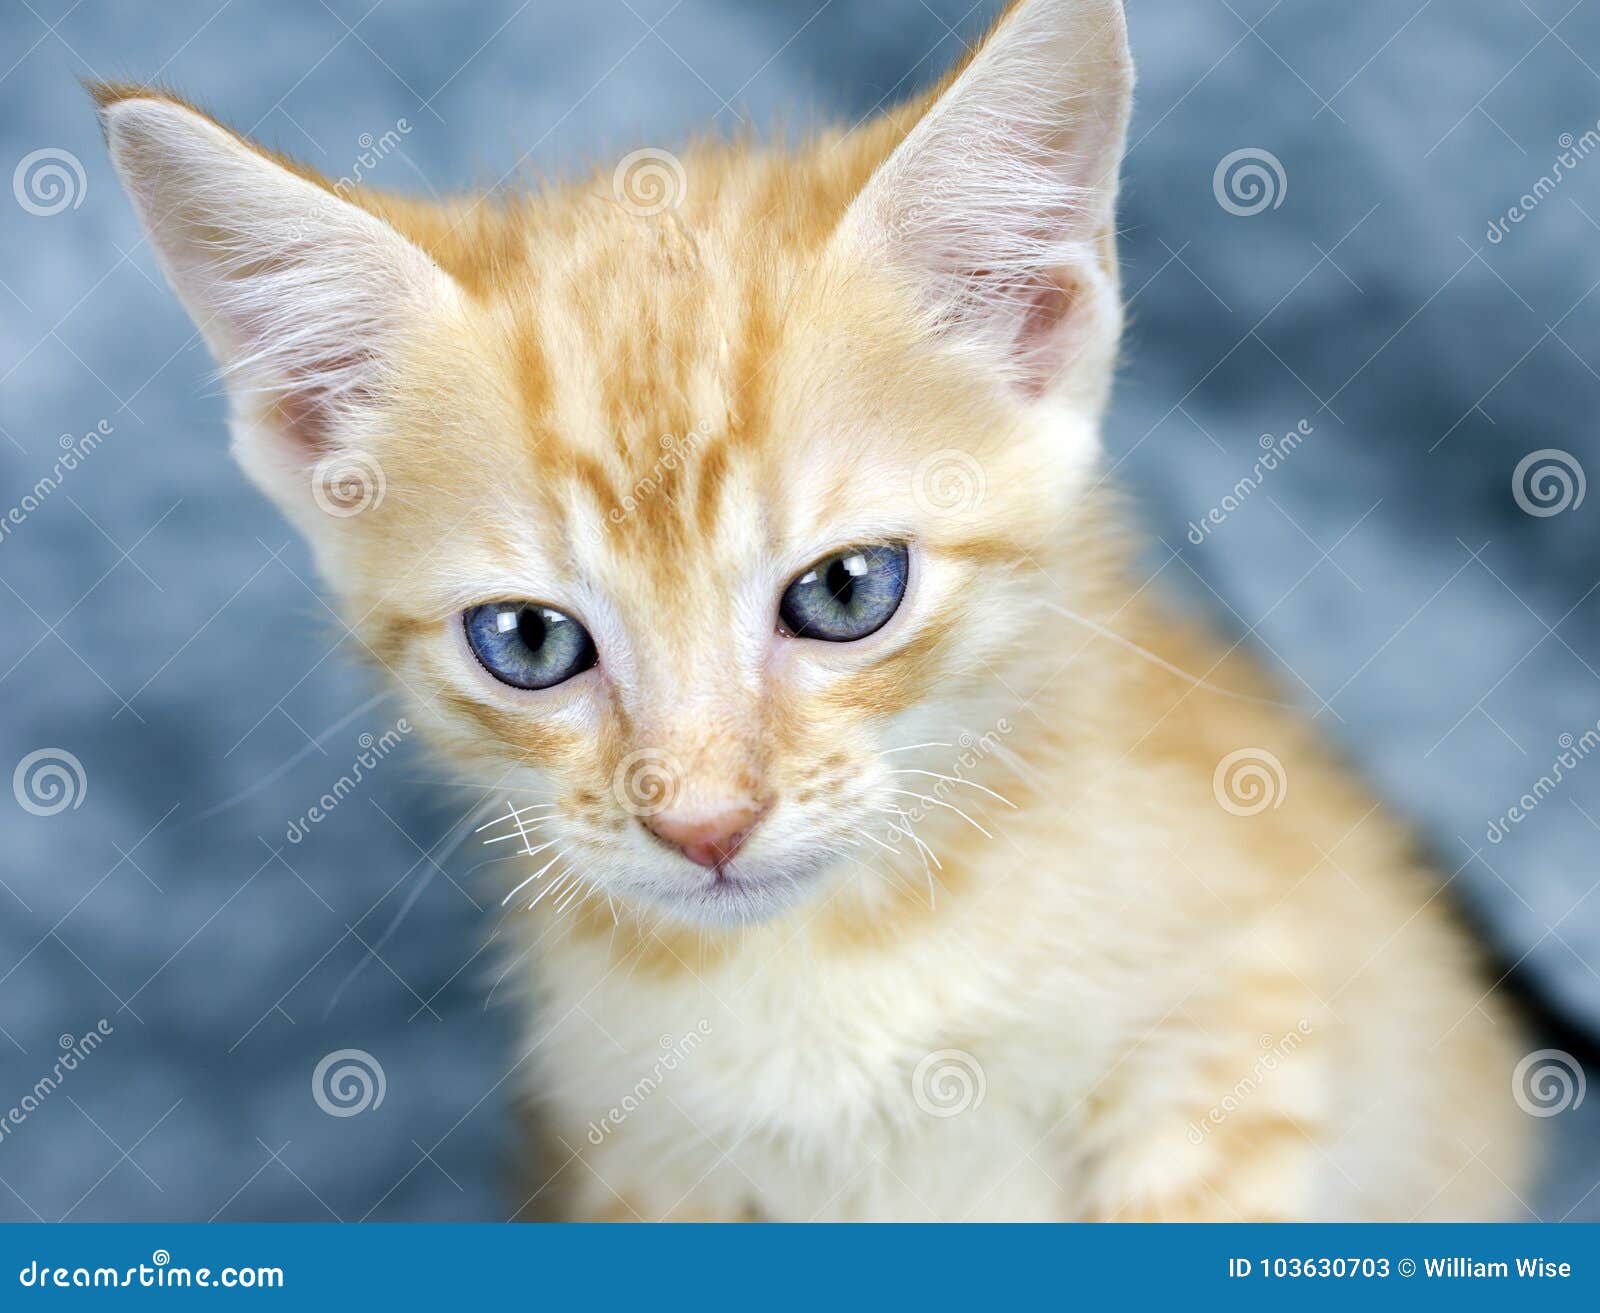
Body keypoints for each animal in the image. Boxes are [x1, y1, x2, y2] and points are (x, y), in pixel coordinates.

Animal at [93, 0, 1529, 1221]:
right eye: (531, 641)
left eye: (844, 592)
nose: (704, 824)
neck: (833, 964)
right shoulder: (639, 1163)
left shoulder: (1227, 1026)